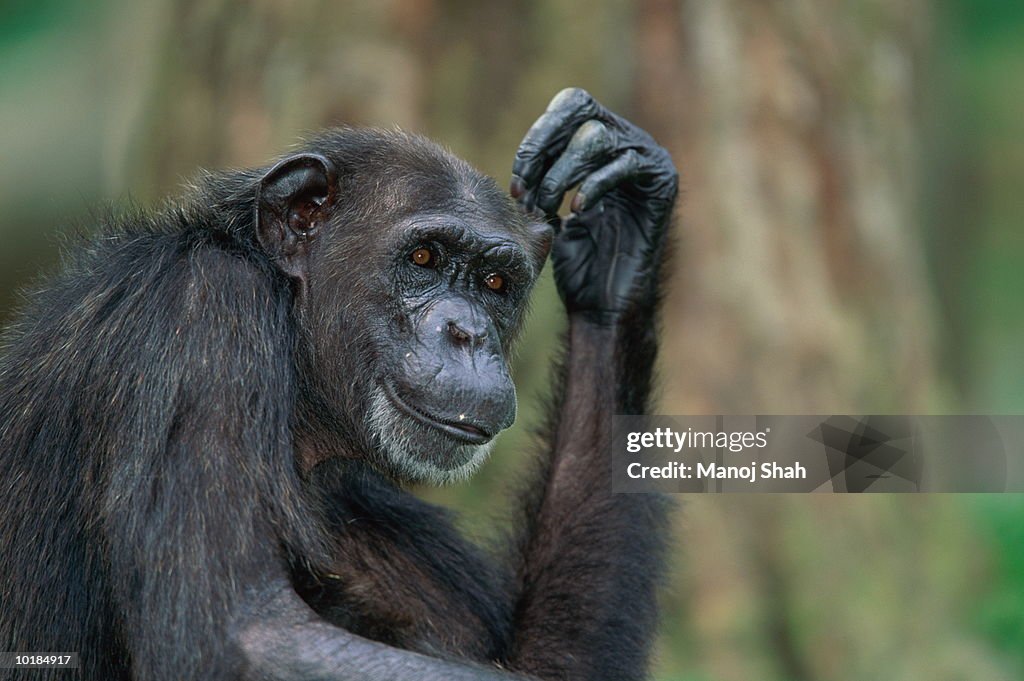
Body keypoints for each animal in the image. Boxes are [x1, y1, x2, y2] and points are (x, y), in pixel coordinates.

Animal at [0, 86, 679, 679]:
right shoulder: (198, 318)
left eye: (494, 284)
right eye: (424, 258)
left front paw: (624, 213)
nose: (467, 333)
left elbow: (552, 663)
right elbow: (243, 634)